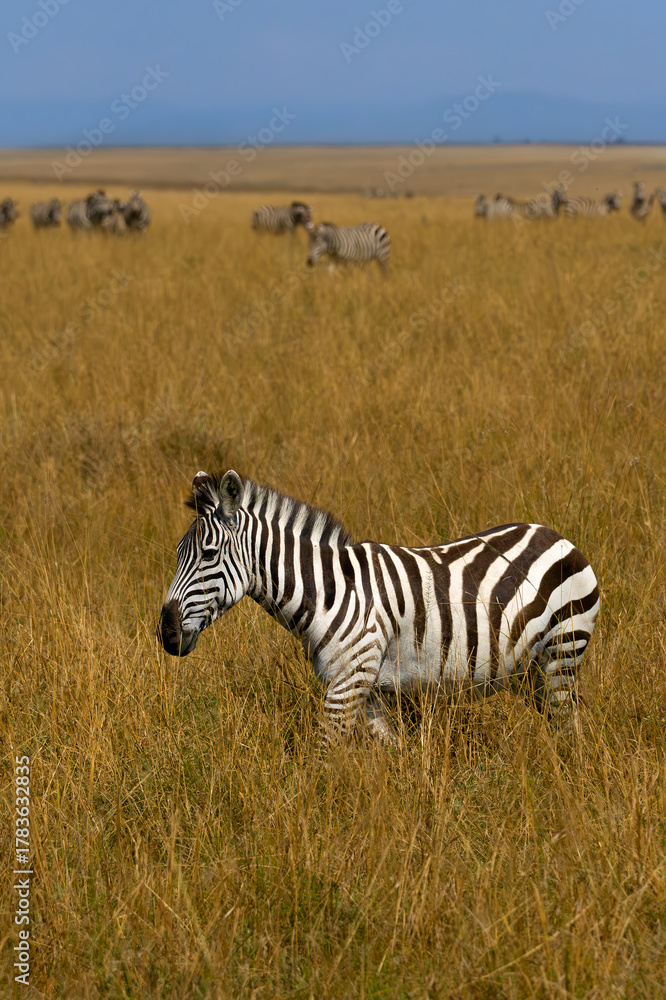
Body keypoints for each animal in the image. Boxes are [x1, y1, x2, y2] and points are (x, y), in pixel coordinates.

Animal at [157, 471, 600, 744]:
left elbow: (323, 756)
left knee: (567, 729)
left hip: (562, 653)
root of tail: (557, 536)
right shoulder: (370, 689)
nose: (166, 632)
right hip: (533, 670)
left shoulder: (347, 682)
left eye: (208, 554)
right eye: (177, 553)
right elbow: (392, 754)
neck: (330, 593)